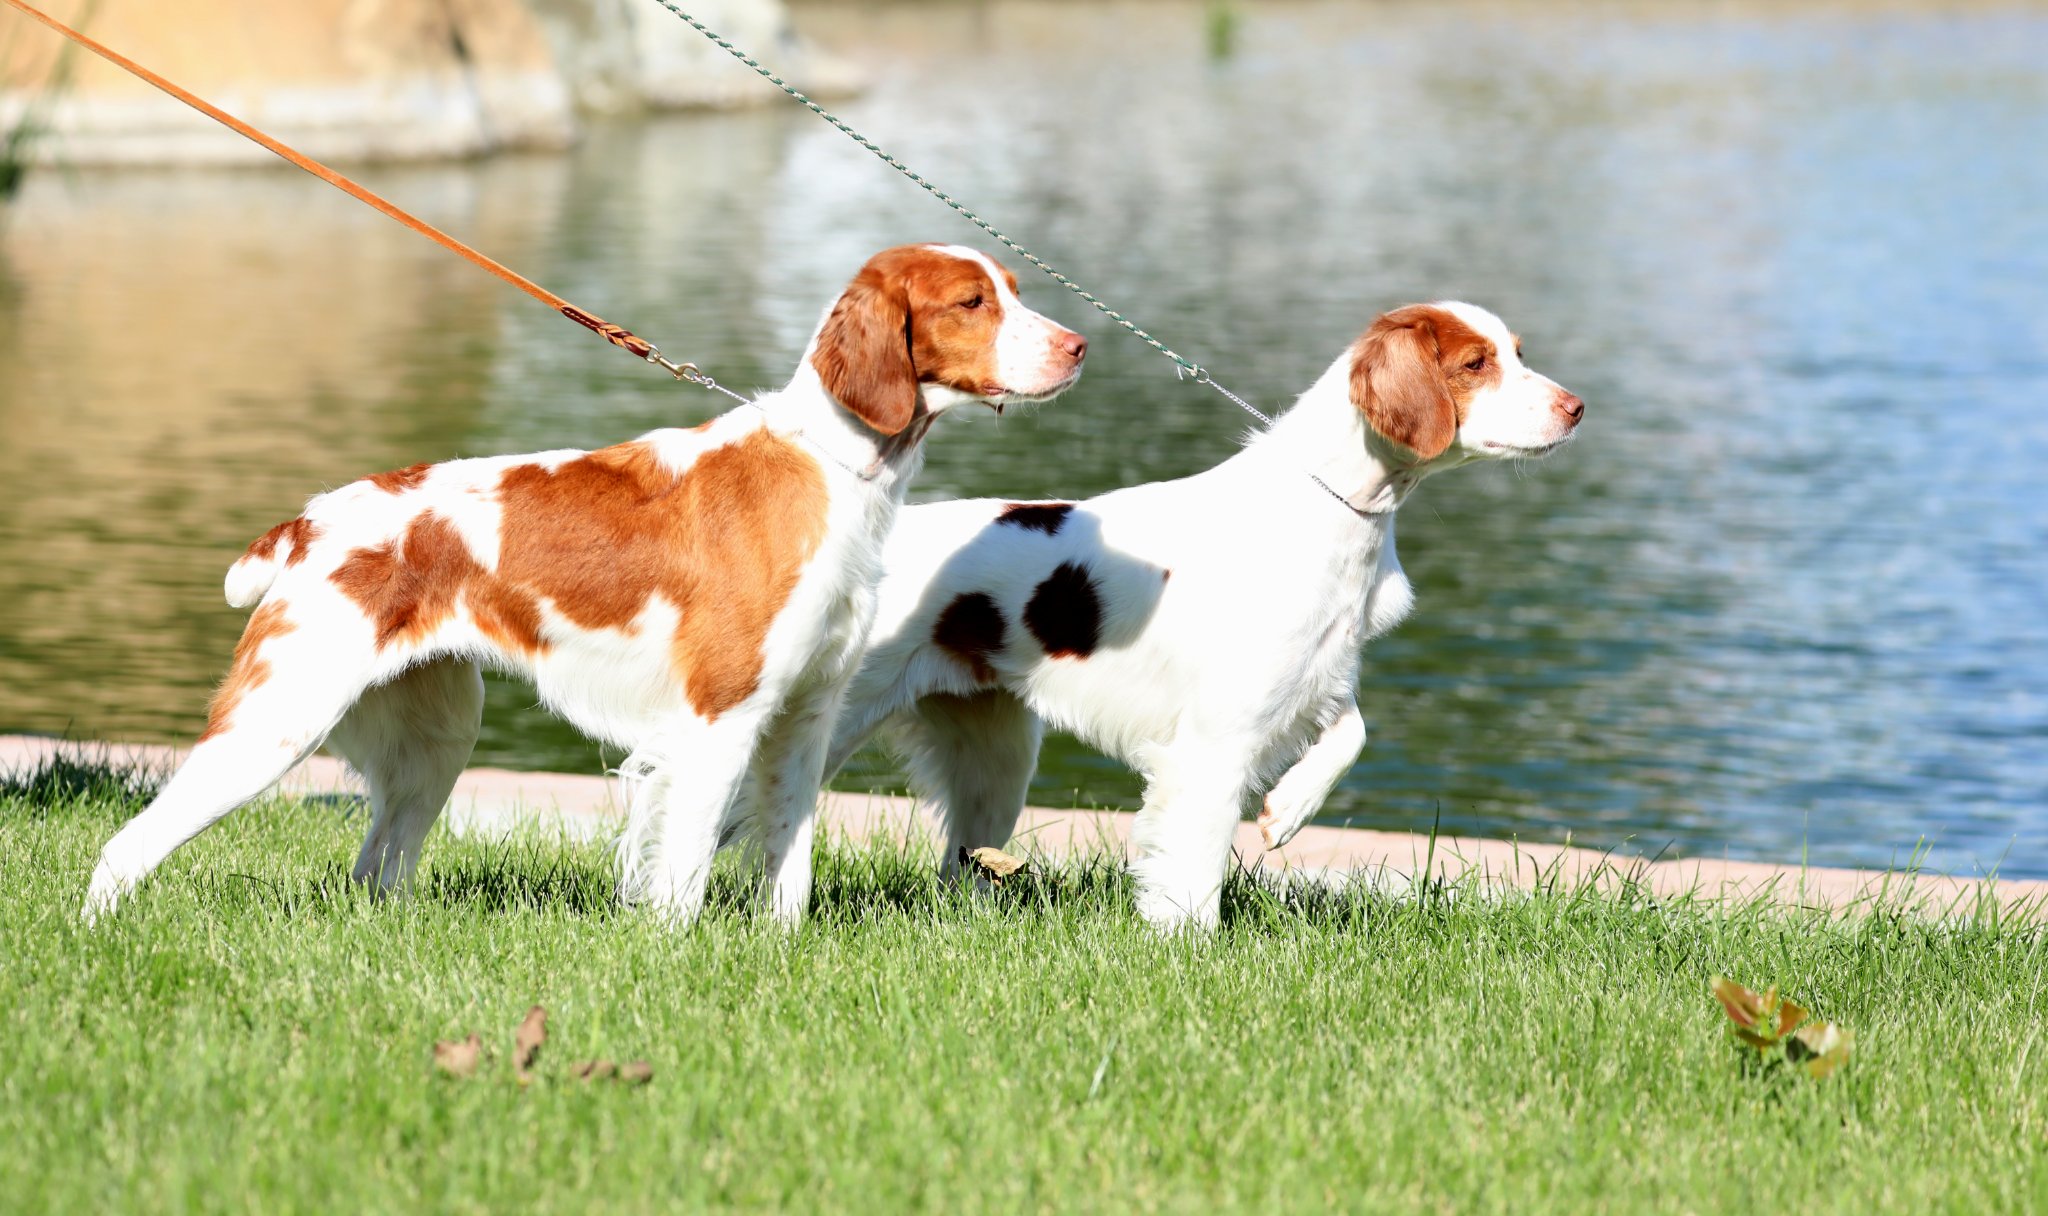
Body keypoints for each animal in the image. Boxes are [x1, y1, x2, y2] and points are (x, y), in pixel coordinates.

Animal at [88, 243, 1089, 917]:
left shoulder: (805, 720)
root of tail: (310, 521)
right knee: (124, 848)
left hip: (436, 736)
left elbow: (789, 875)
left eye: (1016, 293)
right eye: (972, 301)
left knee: (377, 869)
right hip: (277, 721)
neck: (834, 470)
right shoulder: (717, 722)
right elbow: (682, 875)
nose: (1080, 346)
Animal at [819, 302, 1581, 929]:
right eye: (1476, 363)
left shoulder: (1314, 678)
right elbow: (1195, 864)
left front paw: (1289, 813)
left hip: (996, 757)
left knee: (965, 862)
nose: (1576, 407)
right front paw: (1189, 945)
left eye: (1517, 352)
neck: (1333, 510)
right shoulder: (1216, 742)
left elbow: (1353, 731)